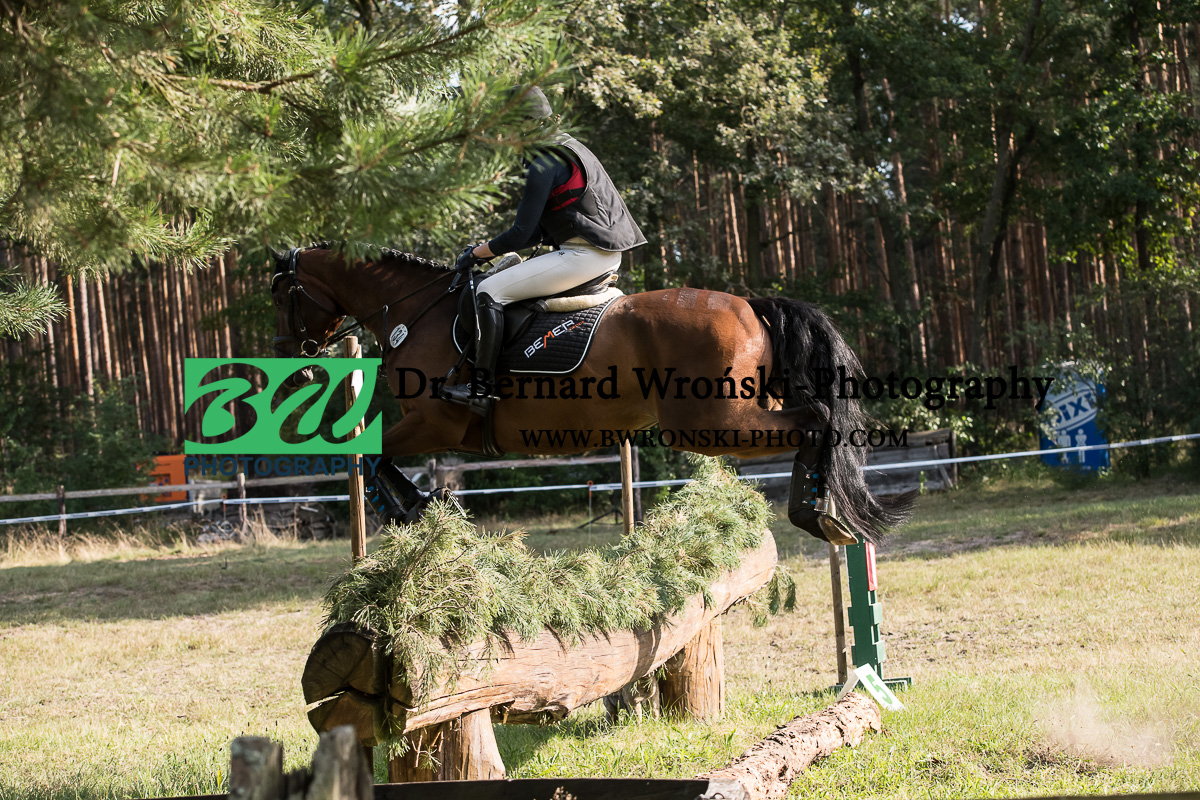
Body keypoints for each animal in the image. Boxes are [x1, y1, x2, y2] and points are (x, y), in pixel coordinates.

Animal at [269, 243, 914, 544]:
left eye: (280, 295)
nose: (289, 362)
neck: (417, 311)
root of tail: (750, 305)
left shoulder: (435, 421)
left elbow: (372, 456)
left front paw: (407, 508)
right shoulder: (434, 430)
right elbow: (377, 459)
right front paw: (422, 505)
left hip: (710, 421)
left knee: (818, 417)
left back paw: (814, 512)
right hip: (731, 412)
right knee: (814, 416)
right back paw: (822, 511)